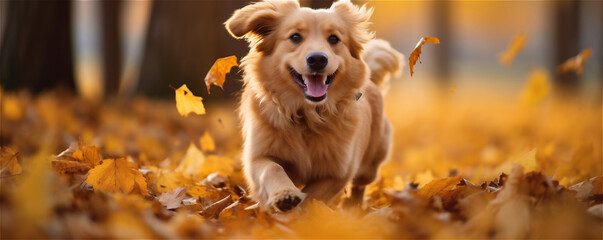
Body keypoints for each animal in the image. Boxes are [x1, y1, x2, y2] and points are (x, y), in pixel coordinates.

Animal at [229, 0, 404, 212]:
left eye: (334, 38)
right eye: (295, 37)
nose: (318, 59)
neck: (308, 115)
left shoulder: (338, 172)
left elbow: (313, 197)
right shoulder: (259, 155)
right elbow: (272, 168)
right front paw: (284, 194)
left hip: (371, 162)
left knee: (360, 184)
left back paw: (353, 206)